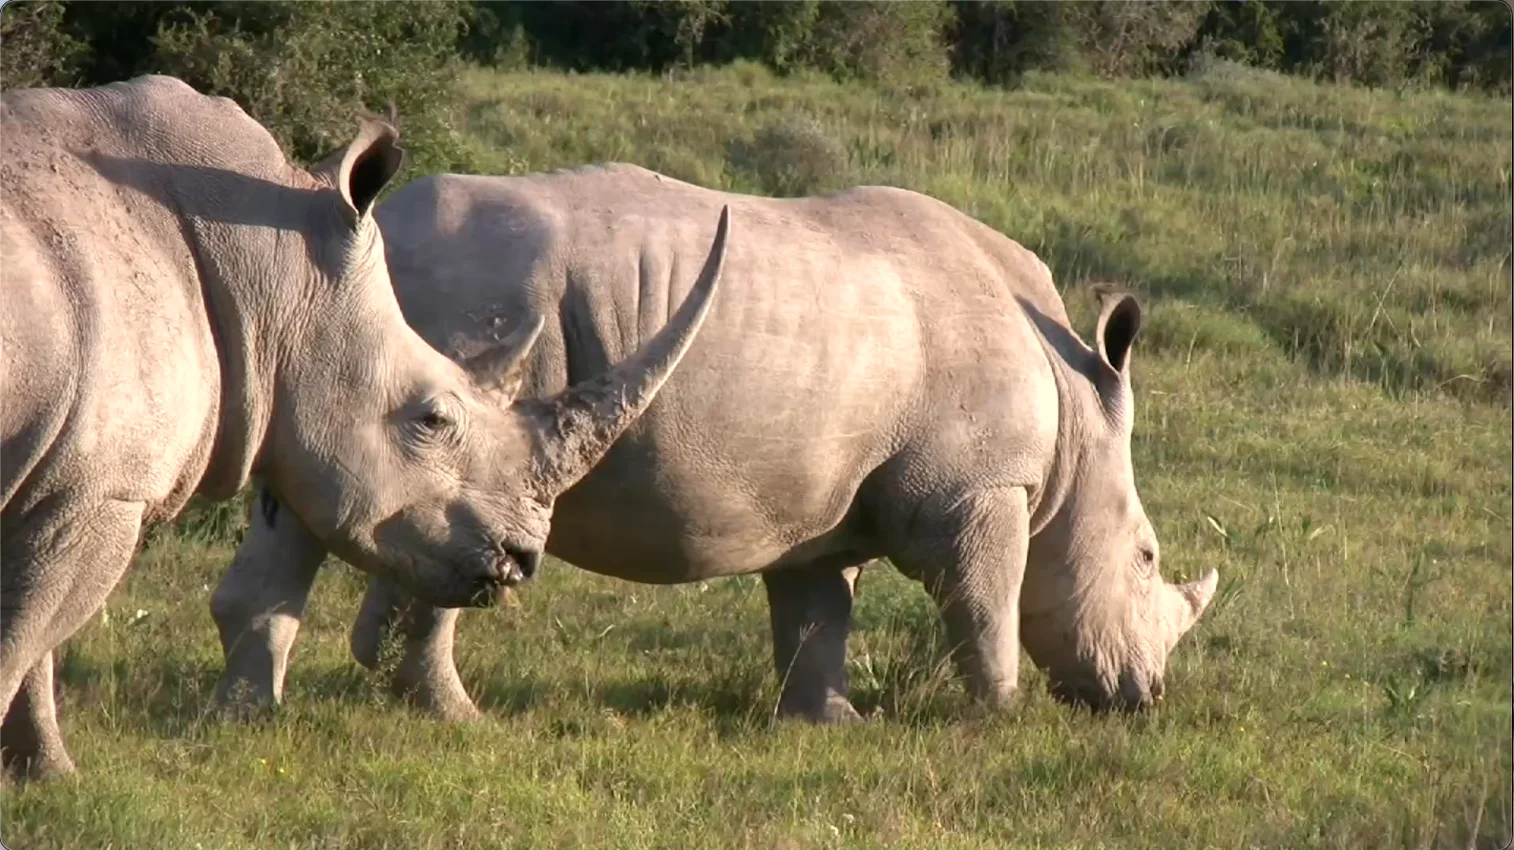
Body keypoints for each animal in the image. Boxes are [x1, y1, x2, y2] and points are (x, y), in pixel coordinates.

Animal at [0, 80, 728, 778]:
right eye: (433, 419)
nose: (521, 558)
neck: (271, 270)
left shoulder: (69, 481)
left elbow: (34, 646)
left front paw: (48, 776)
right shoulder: (100, 491)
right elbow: (24, 642)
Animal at [212, 163, 1218, 725]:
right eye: (1146, 556)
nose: (1146, 699)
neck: (1077, 416)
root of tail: (384, 230)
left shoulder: (823, 492)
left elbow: (817, 611)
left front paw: (830, 724)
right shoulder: (979, 488)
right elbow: (984, 599)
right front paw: (999, 717)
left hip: (371, 320)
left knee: (322, 496)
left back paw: (254, 716)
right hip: (470, 295)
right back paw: (459, 720)